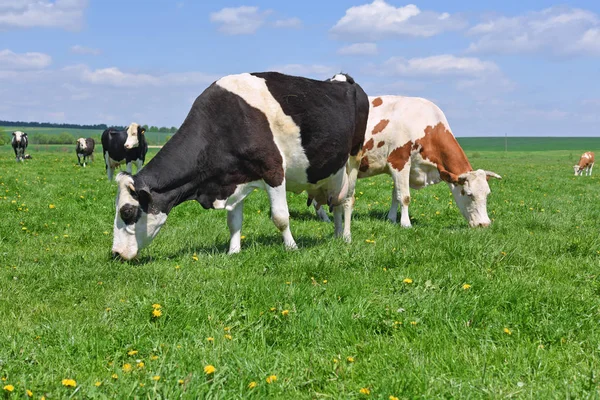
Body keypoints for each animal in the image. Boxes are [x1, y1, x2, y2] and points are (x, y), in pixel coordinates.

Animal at [110, 71, 368, 260]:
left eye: (127, 212)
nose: (115, 254)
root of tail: (342, 78)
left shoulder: (273, 169)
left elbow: (280, 217)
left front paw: (291, 247)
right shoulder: (234, 176)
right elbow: (233, 221)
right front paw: (233, 251)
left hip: (353, 159)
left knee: (347, 200)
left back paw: (346, 237)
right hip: (332, 172)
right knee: (335, 201)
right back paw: (336, 235)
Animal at [314, 95, 502, 233]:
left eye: (487, 194)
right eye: (469, 194)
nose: (484, 224)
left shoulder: (405, 168)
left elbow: (395, 195)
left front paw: (391, 219)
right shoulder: (399, 162)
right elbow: (404, 196)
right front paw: (406, 224)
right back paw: (325, 217)